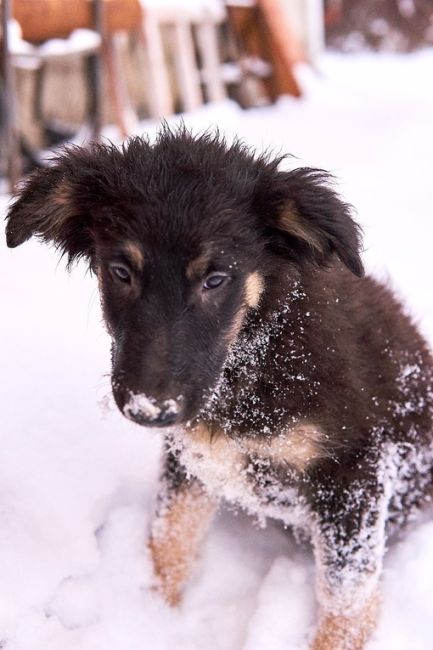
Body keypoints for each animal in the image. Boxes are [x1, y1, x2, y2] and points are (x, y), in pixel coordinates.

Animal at [5, 129, 432, 644]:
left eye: (215, 279)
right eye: (121, 272)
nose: (150, 408)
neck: (257, 354)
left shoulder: (356, 471)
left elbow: (345, 597)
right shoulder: (192, 456)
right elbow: (170, 538)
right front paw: (152, 616)